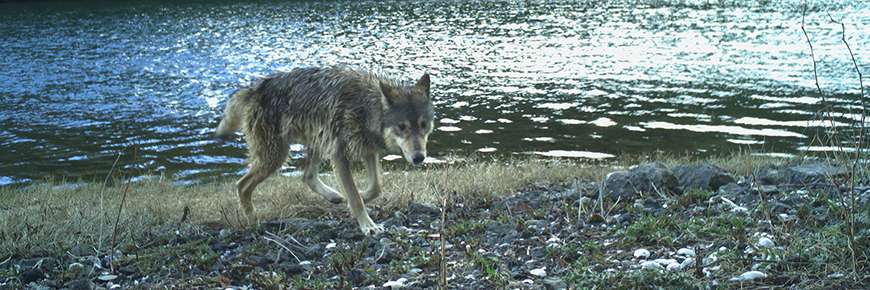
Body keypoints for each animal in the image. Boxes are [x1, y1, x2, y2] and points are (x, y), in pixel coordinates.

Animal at [216, 67, 434, 234]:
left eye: (423, 124)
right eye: (402, 126)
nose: (419, 158)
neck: (366, 108)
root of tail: (256, 88)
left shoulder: (368, 151)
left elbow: (375, 187)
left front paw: (359, 197)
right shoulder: (339, 154)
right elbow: (355, 198)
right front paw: (368, 226)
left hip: (316, 141)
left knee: (307, 176)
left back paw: (334, 196)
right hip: (276, 156)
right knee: (242, 186)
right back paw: (253, 221)